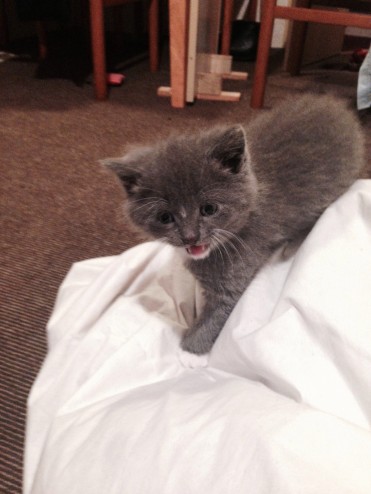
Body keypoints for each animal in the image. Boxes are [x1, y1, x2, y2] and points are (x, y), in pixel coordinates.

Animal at [104, 93, 366, 356]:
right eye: (165, 217)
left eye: (209, 209)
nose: (190, 236)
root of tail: (338, 108)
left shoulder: (238, 269)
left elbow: (215, 316)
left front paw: (187, 351)